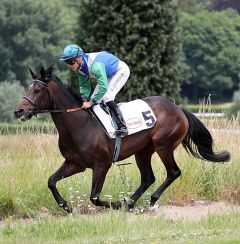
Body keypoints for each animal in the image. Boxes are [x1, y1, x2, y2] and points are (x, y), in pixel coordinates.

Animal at [13, 66, 231, 213]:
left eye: (37, 90)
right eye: (27, 88)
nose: (19, 111)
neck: (79, 124)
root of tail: (178, 108)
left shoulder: (102, 164)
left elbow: (94, 197)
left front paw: (117, 203)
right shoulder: (75, 163)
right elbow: (51, 181)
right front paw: (66, 206)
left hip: (164, 145)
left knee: (173, 172)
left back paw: (148, 200)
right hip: (143, 151)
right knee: (148, 178)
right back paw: (131, 202)